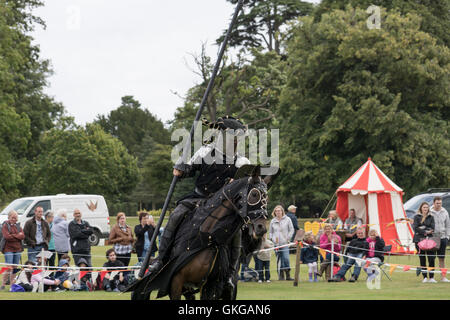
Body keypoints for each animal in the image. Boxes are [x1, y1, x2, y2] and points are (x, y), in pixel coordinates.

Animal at [126, 168, 278, 300]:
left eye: (267, 198)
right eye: (254, 194)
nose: (261, 228)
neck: (207, 237)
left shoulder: (212, 286)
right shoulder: (176, 283)